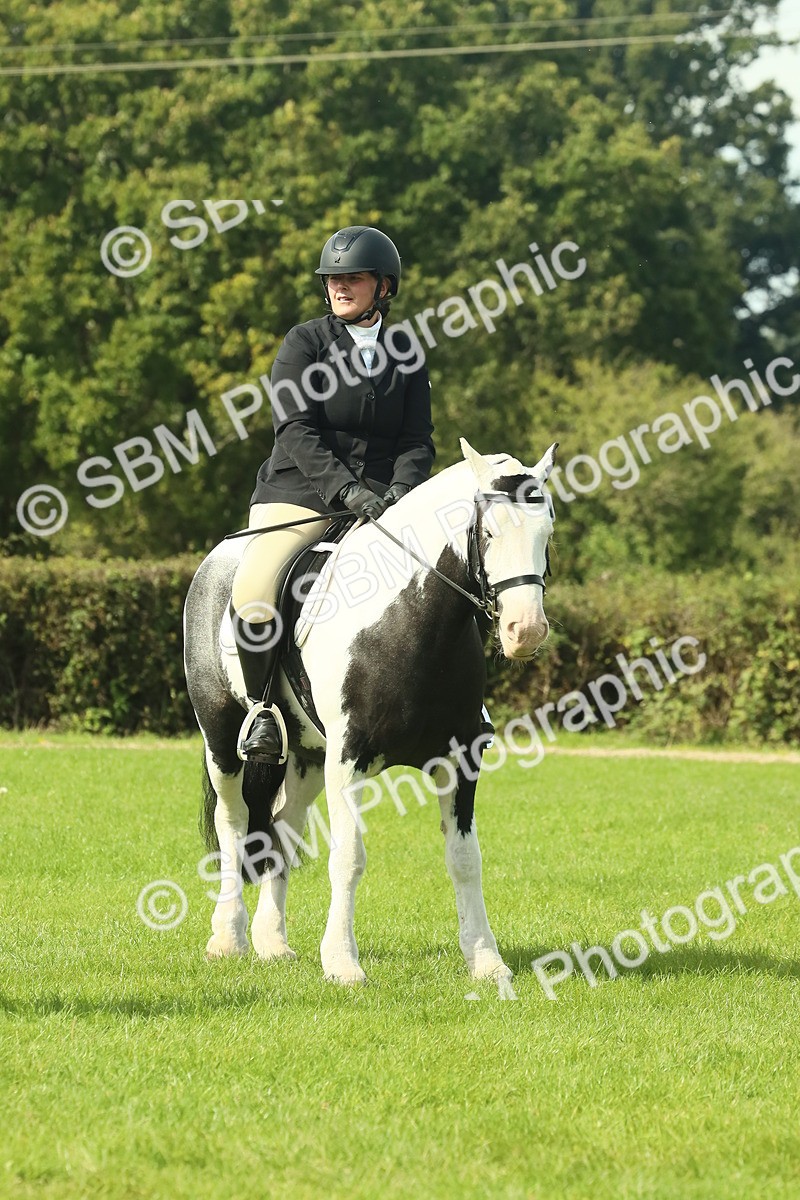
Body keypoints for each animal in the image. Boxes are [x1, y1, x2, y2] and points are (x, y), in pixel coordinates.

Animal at [183, 438, 557, 986]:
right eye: (488, 533)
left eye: (546, 532)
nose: (524, 631)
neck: (412, 620)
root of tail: (215, 562)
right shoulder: (348, 759)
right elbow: (349, 857)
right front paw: (342, 963)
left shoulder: (460, 759)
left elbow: (465, 859)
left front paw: (486, 962)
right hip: (222, 737)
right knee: (233, 825)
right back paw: (227, 938)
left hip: (306, 756)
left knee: (282, 829)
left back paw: (272, 942)